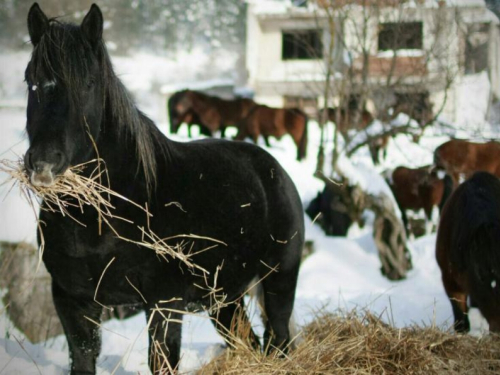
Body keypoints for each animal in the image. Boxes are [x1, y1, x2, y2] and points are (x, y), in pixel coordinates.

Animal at [23, 3, 304, 375]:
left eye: (88, 84)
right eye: (31, 81)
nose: (43, 163)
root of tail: (277, 172)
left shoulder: (164, 303)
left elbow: (162, 360)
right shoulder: (72, 300)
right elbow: (83, 357)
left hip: (278, 283)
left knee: (279, 341)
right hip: (225, 299)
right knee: (249, 342)